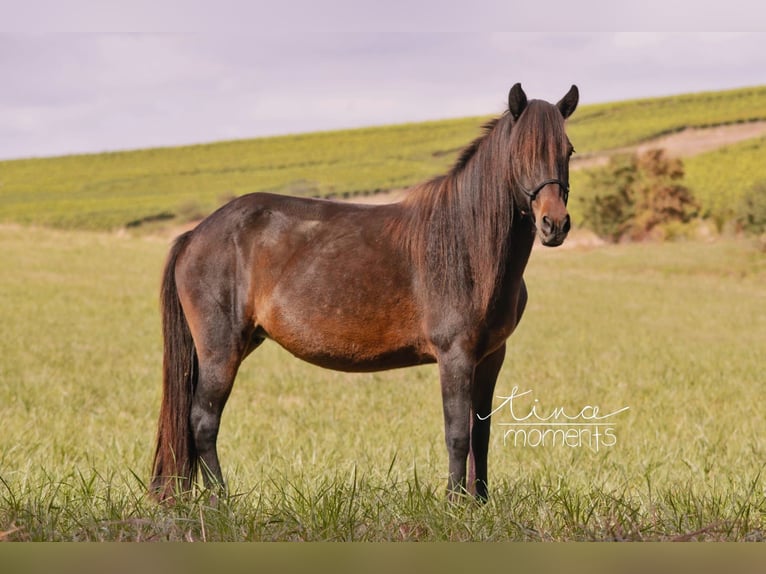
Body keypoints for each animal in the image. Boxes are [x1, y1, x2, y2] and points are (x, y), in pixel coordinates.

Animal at [153, 83, 580, 502]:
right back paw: (220, 503)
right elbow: (458, 434)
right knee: (203, 421)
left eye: (568, 150)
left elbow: (482, 433)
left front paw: (479, 504)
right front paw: (454, 504)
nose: (554, 224)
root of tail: (195, 234)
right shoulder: (455, 356)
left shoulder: (491, 356)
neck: (467, 244)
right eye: (522, 151)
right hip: (220, 350)